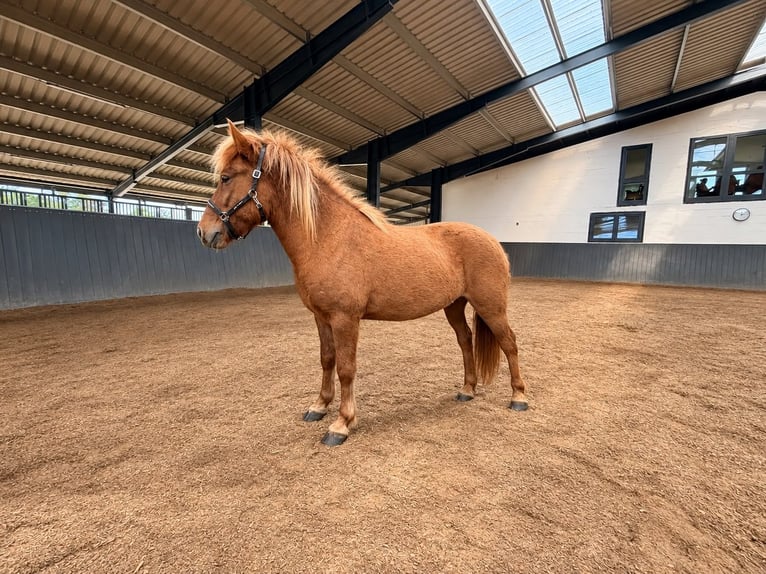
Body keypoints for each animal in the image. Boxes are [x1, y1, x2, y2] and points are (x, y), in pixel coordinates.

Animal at [196, 120, 528, 446]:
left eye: (226, 177)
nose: (204, 232)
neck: (328, 237)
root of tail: (494, 241)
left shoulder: (345, 319)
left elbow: (346, 368)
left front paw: (341, 424)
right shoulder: (321, 317)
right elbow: (327, 360)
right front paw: (319, 406)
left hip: (491, 307)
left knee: (509, 343)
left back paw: (518, 397)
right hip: (455, 306)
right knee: (465, 340)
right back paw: (467, 390)